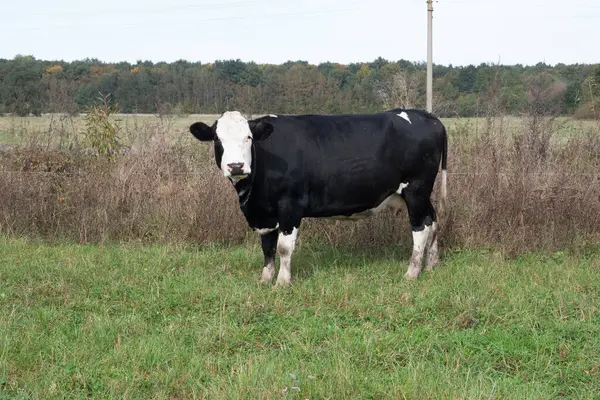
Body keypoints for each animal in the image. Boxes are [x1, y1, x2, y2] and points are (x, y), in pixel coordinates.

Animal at [190, 108, 448, 286]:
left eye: (248, 137)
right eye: (217, 139)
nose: (236, 166)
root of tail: (426, 115)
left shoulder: (290, 205)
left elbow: (283, 248)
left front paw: (282, 282)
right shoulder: (264, 214)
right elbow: (267, 248)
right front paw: (265, 279)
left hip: (416, 189)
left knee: (420, 228)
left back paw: (412, 272)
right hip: (421, 194)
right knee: (433, 220)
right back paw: (432, 264)